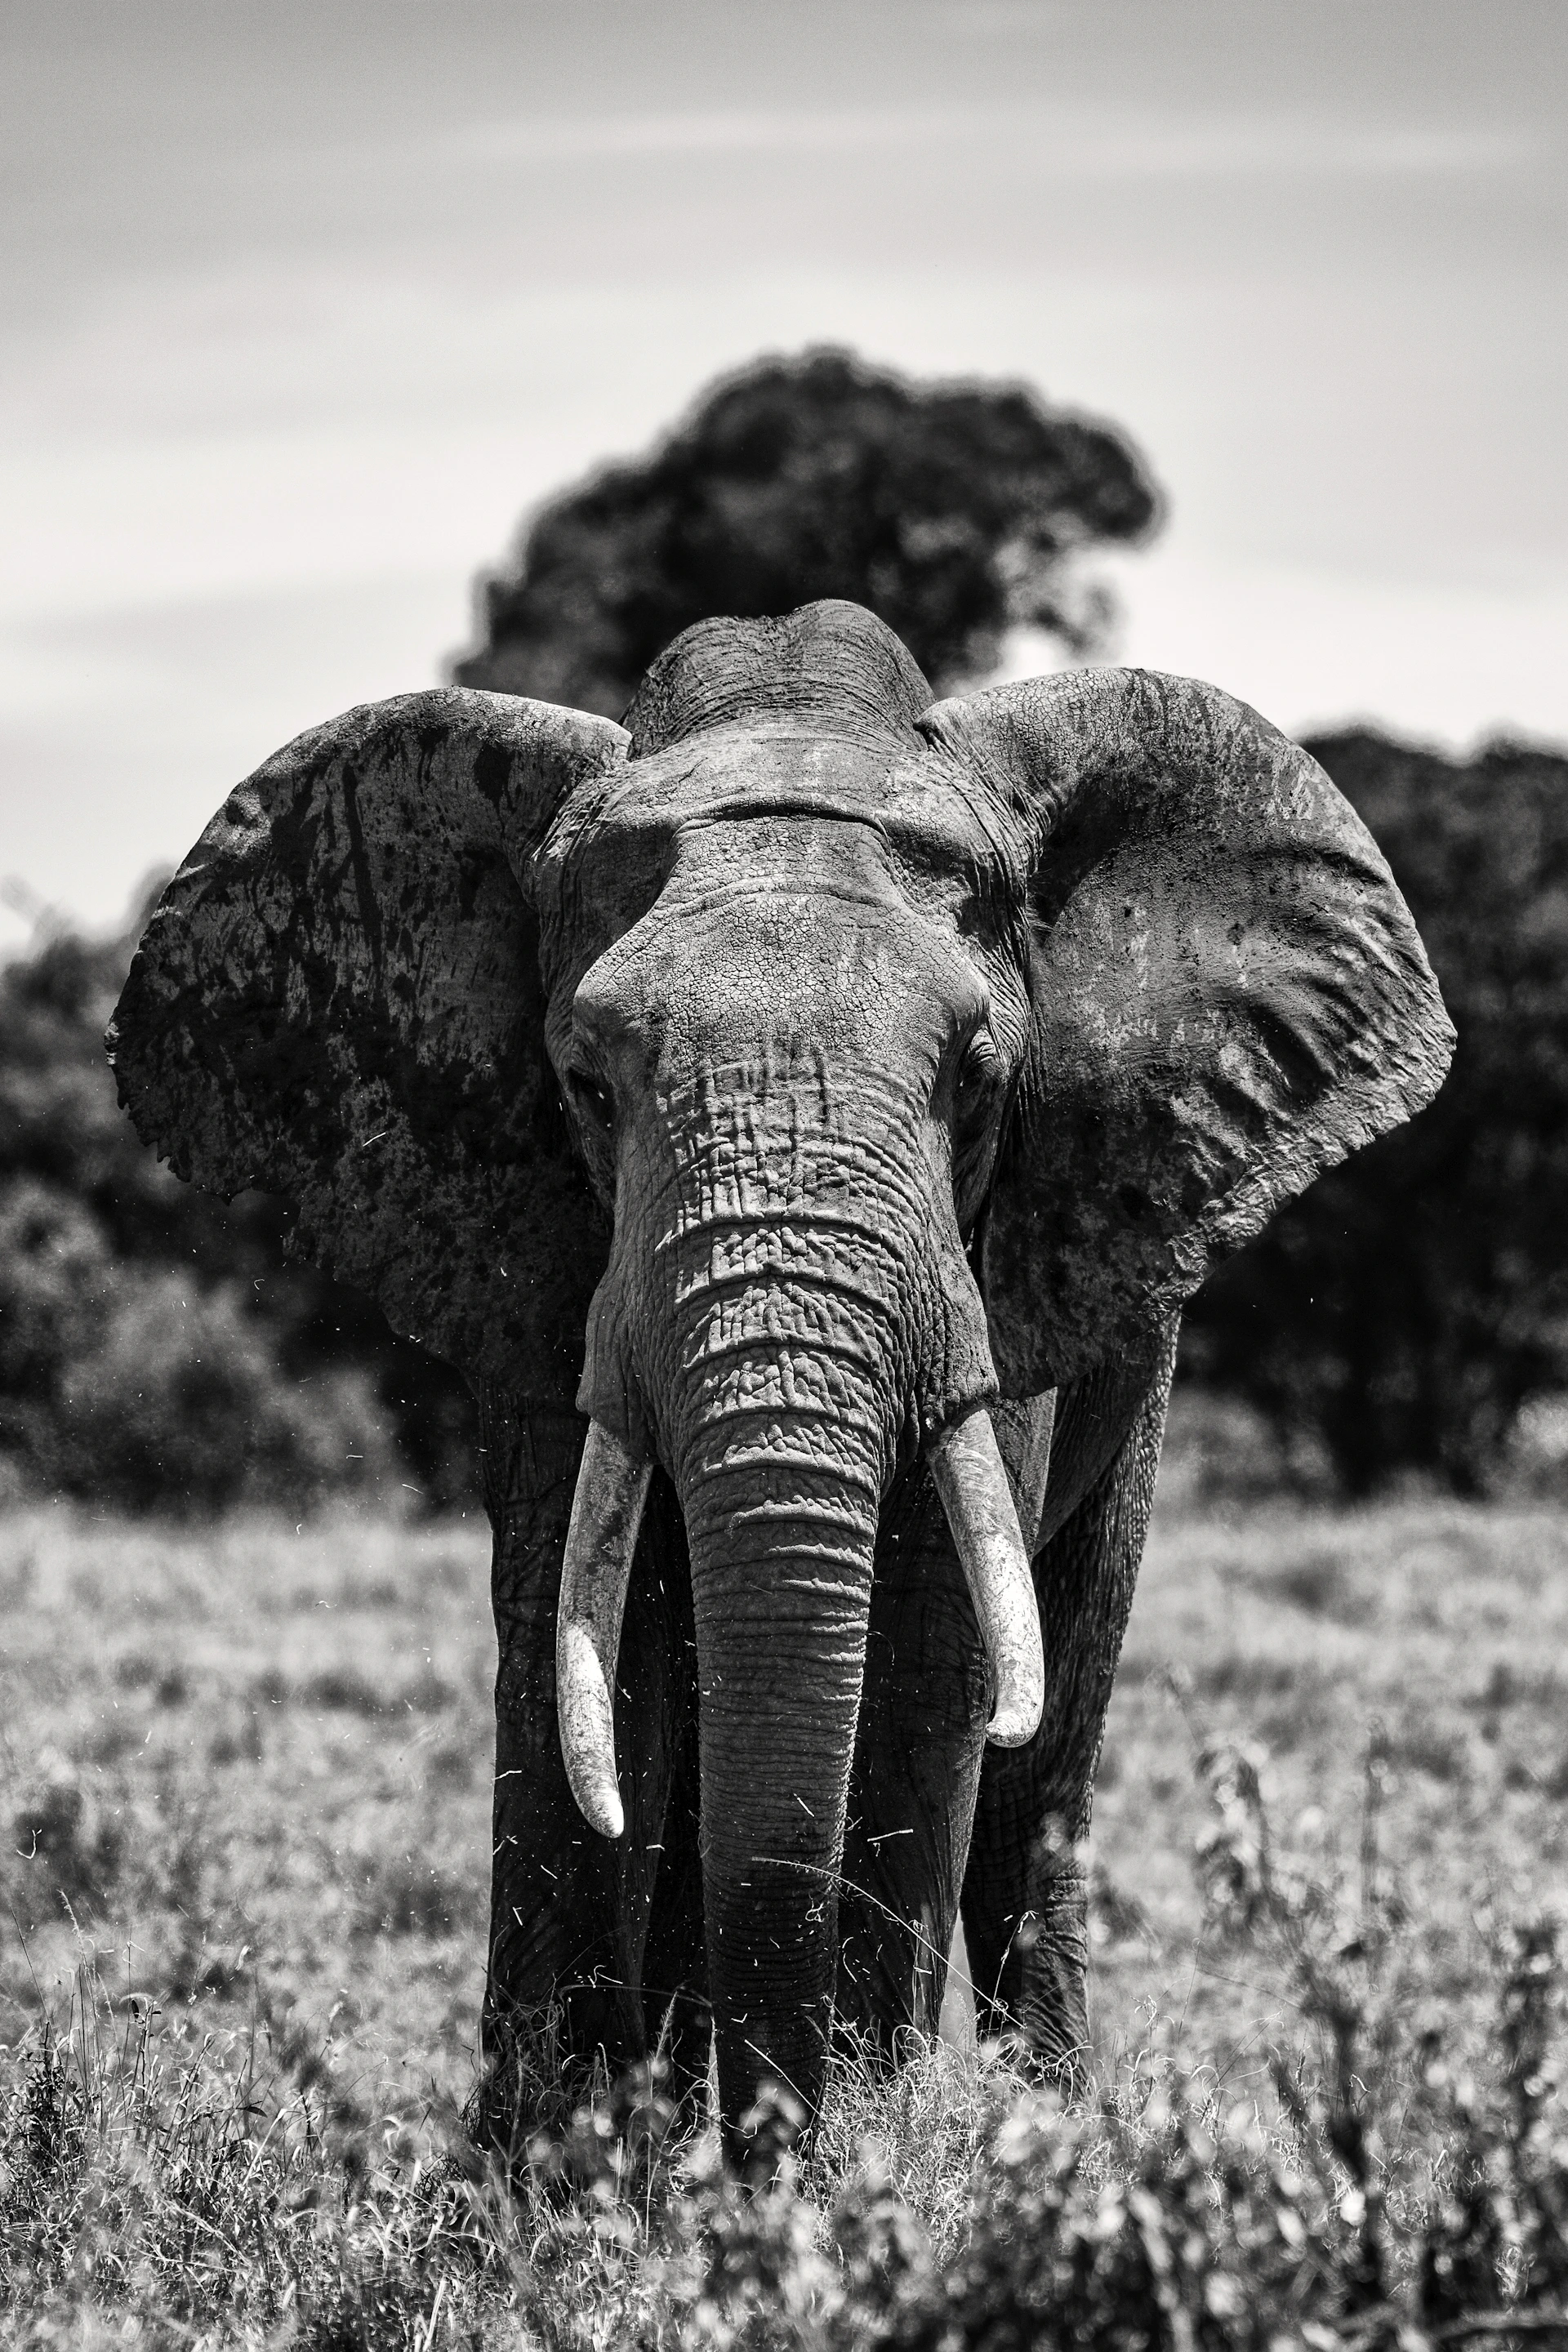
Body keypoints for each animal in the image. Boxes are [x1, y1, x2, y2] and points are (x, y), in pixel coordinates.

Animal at [107, 599, 1452, 2155]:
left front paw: (859, 2146)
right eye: (586, 1087)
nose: (770, 2142)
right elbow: (582, 1631)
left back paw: (1048, 2123)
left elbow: (933, 1642)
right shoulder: (551, 1260)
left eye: (978, 1081)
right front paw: (558, 2156)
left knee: (1048, 1748)